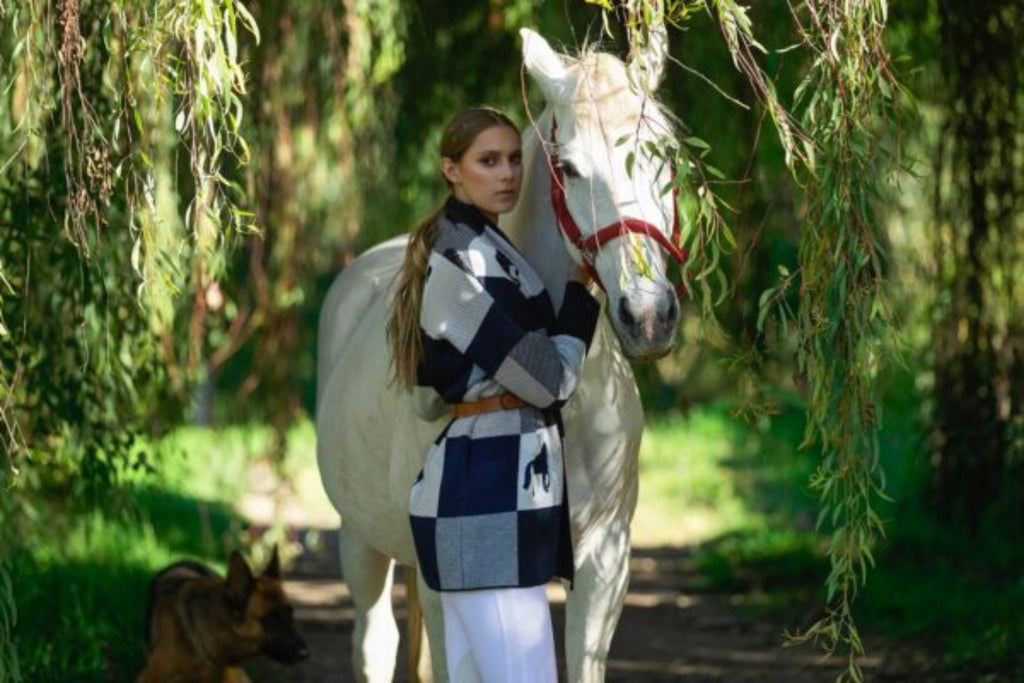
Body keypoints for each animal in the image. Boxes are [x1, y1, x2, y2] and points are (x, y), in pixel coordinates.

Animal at [311, 28, 679, 683]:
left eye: (664, 150)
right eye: (568, 167)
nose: (648, 315)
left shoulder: (606, 560)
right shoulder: (443, 585)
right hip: (360, 540)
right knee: (374, 641)